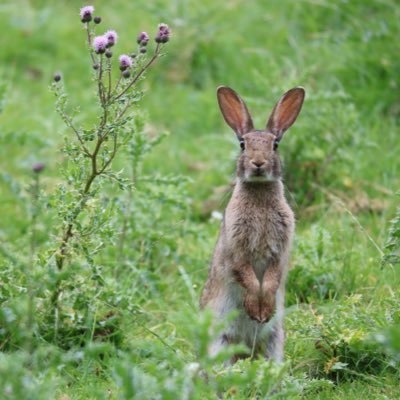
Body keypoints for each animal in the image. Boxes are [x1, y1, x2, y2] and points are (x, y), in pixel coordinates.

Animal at [198, 84, 304, 362]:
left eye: (275, 144)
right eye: (242, 144)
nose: (258, 163)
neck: (259, 192)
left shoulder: (280, 250)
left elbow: (272, 276)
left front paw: (262, 311)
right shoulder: (236, 250)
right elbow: (245, 274)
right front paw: (255, 309)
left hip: (274, 342)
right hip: (220, 342)